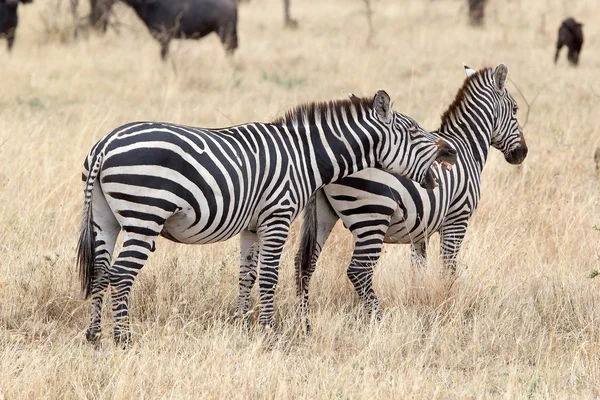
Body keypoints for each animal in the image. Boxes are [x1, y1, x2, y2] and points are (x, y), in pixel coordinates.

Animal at [77, 90, 458, 344]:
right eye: (414, 132)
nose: (450, 152)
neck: (305, 156)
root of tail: (105, 145)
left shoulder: (252, 226)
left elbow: (246, 275)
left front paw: (242, 323)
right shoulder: (278, 215)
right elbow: (270, 275)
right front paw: (269, 329)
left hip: (105, 219)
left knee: (100, 271)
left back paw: (95, 335)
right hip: (144, 216)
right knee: (121, 274)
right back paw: (123, 338)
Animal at [296, 64, 528, 330]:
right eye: (515, 109)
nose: (522, 154)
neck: (467, 147)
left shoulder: (421, 228)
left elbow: (419, 269)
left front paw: (420, 299)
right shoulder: (457, 218)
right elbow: (448, 266)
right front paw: (448, 300)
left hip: (323, 215)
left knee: (304, 264)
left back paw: (304, 322)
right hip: (372, 216)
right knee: (358, 271)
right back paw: (378, 319)